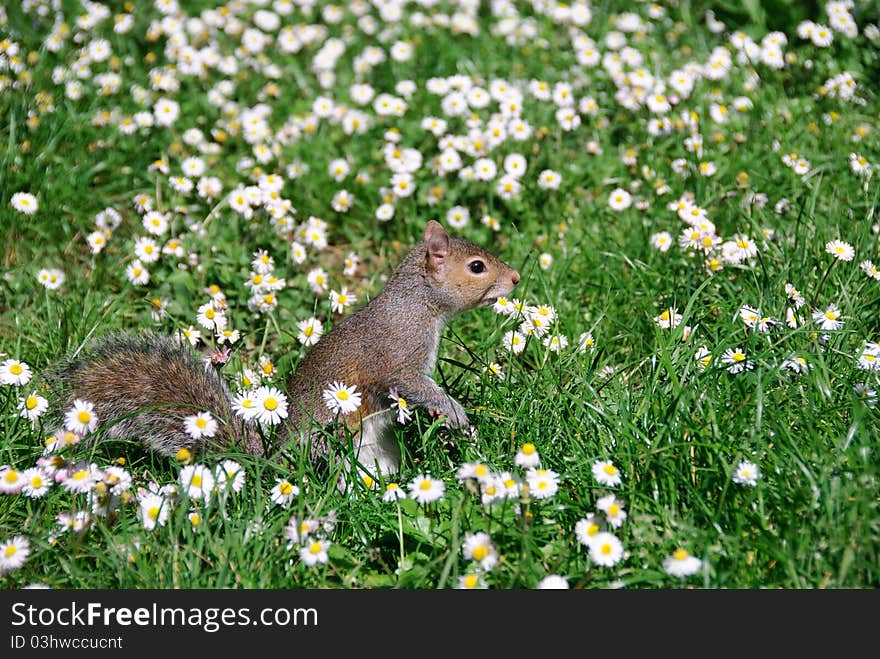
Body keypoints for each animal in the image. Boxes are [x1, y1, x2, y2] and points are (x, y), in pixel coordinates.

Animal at [55, 222, 520, 480]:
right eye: (476, 267)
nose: (515, 278)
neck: (420, 303)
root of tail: (274, 463)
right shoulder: (399, 357)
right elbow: (412, 385)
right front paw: (456, 414)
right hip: (335, 443)